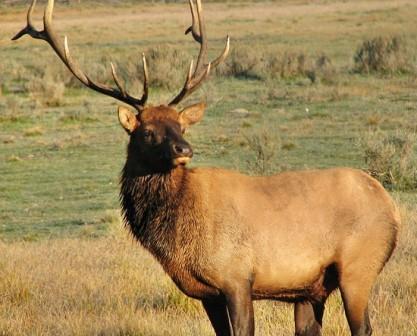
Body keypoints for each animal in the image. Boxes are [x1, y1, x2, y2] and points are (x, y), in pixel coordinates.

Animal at [14, 0, 400, 336]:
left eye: (180, 126)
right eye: (148, 131)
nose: (185, 149)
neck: (177, 240)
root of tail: (391, 207)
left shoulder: (236, 277)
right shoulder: (205, 293)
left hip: (357, 268)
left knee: (364, 327)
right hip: (310, 289)